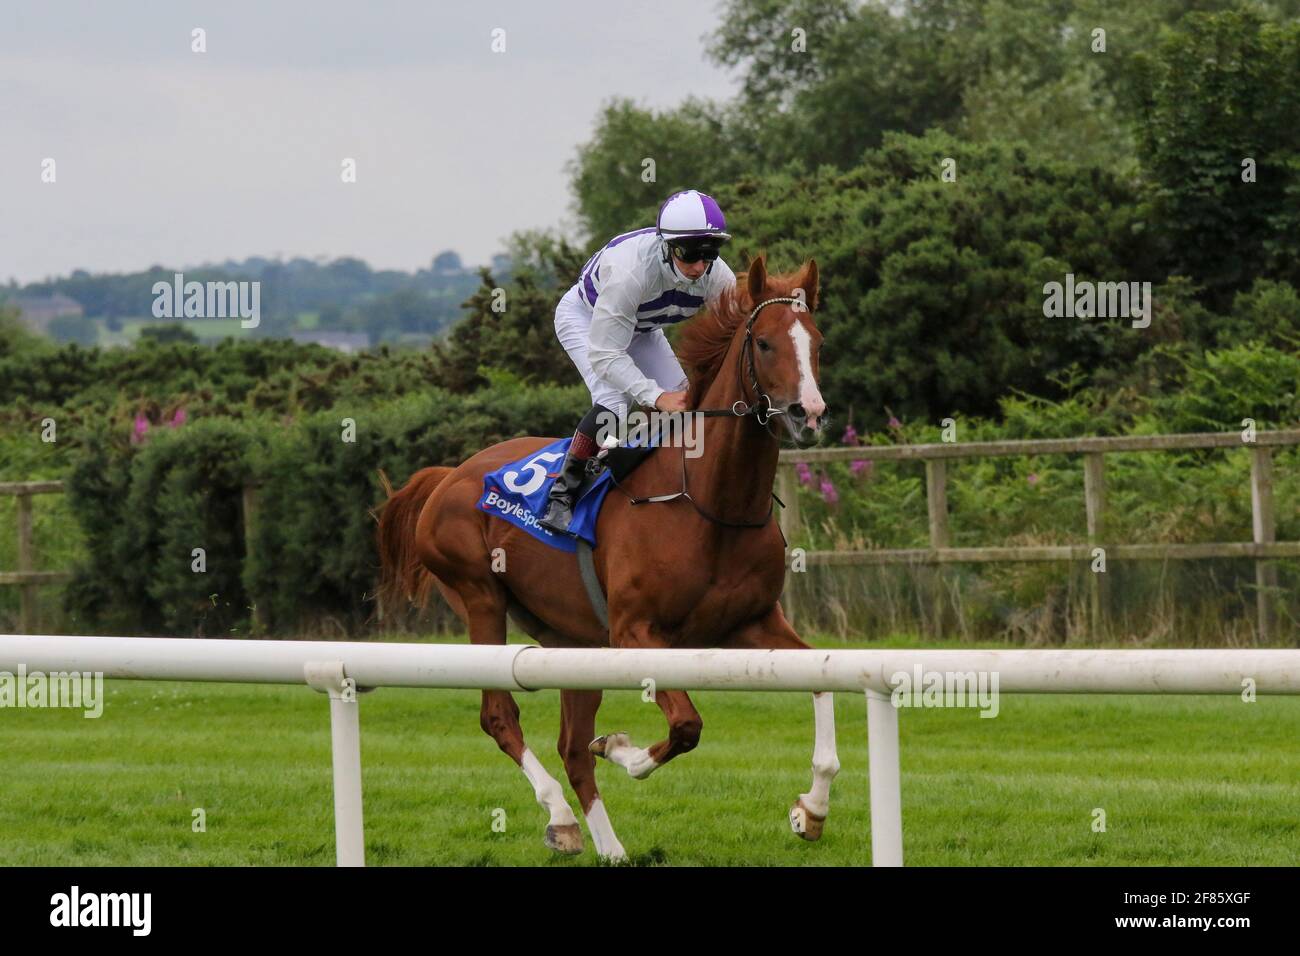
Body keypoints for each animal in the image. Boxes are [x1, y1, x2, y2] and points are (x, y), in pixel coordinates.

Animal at [374, 254, 842, 858]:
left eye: (818, 342)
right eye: (763, 343)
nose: (808, 413)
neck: (710, 502)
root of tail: (447, 476)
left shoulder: (753, 622)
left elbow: (821, 678)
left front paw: (812, 809)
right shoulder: (635, 632)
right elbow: (686, 726)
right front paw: (620, 748)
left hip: (571, 641)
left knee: (571, 749)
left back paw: (609, 847)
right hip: (480, 599)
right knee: (500, 716)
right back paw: (561, 816)